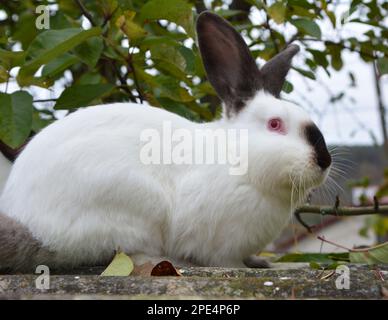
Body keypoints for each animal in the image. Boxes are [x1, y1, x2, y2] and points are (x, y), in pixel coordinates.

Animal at [0, 13, 330, 272]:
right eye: (275, 125)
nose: (324, 160)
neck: (238, 159)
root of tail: (34, 229)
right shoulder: (217, 241)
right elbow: (225, 260)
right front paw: (245, 267)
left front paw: (259, 261)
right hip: (135, 210)